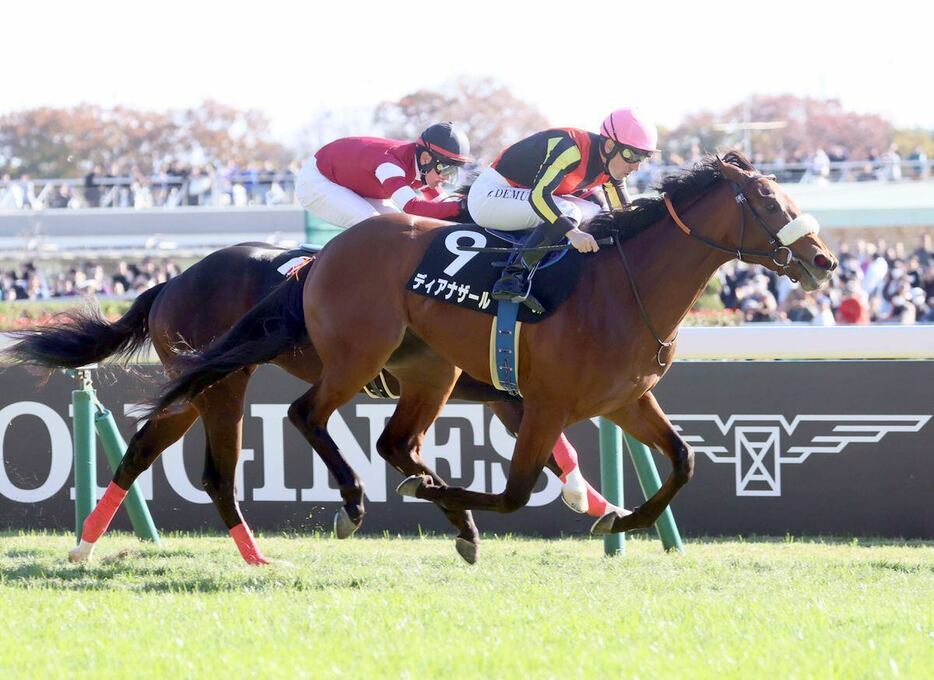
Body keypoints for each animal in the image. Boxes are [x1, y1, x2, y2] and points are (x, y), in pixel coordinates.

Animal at [3, 242, 604, 564]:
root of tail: (170, 282)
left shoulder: (499, 391)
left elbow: (554, 445)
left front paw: (593, 502)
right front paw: (589, 503)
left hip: (192, 386)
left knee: (142, 450)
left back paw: (84, 547)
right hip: (223, 385)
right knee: (217, 474)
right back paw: (258, 557)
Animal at [152, 151, 840, 556]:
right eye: (770, 202)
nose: (824, 261)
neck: (621, 285)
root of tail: (320, 260)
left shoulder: (624, 401)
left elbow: (684, 462)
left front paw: (615, 520)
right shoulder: (542, 404)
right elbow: (515, 491)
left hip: (429, 370)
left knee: (392, 442)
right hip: (350, 356)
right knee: (302, 417)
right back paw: (351, 505)